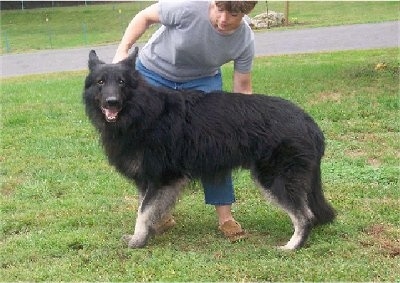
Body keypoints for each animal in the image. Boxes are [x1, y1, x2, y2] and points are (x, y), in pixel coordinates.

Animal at [83, 47, 334, 250]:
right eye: (101, 82)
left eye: (122, 82)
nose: (111, 102)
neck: (141, 112)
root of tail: (308, 121)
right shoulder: (151, 182)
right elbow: (149, 210)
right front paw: (148, 234)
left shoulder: (162, 179)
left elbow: (143, 212)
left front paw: (138, 241)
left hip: (274, 179)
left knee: (305, 216)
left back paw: (292, 246)